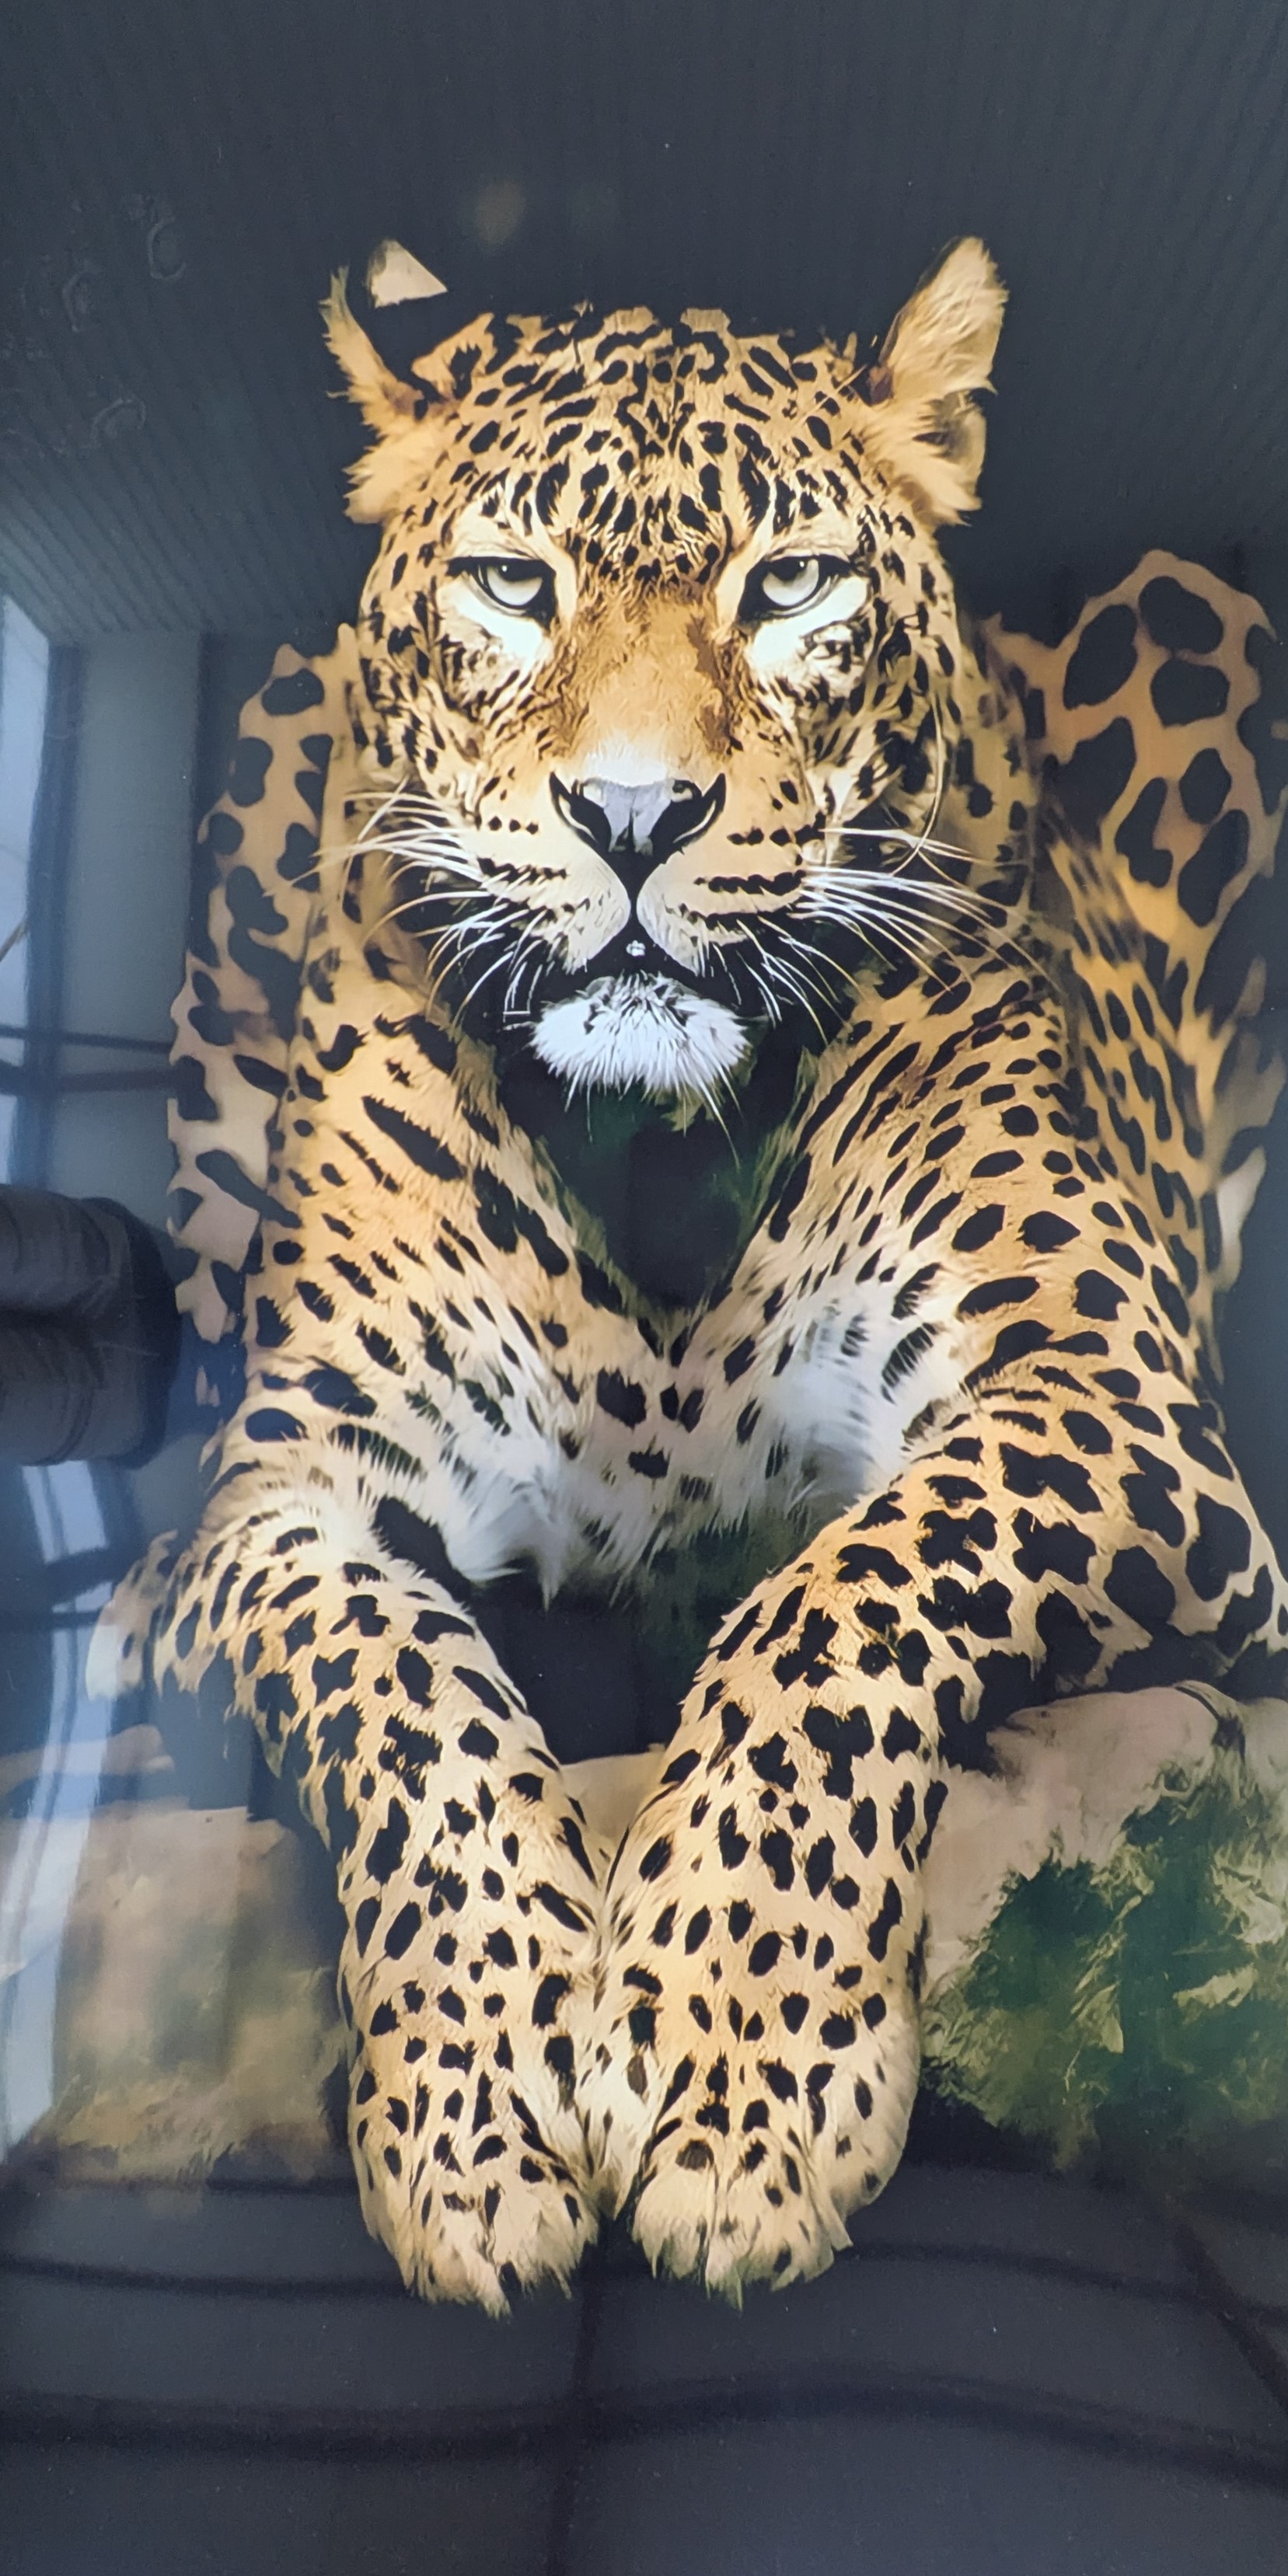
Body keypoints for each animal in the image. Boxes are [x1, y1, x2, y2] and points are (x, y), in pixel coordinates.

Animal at [91, 237, 1288, 2312]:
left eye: (788, 584)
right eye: (514, 583)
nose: (635, 817)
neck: (649, 1152)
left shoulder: (1098, 1397)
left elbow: (844, 1596)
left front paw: (741, 2068)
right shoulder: (284, 1500)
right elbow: (395, 1681)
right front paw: (478, 2097)